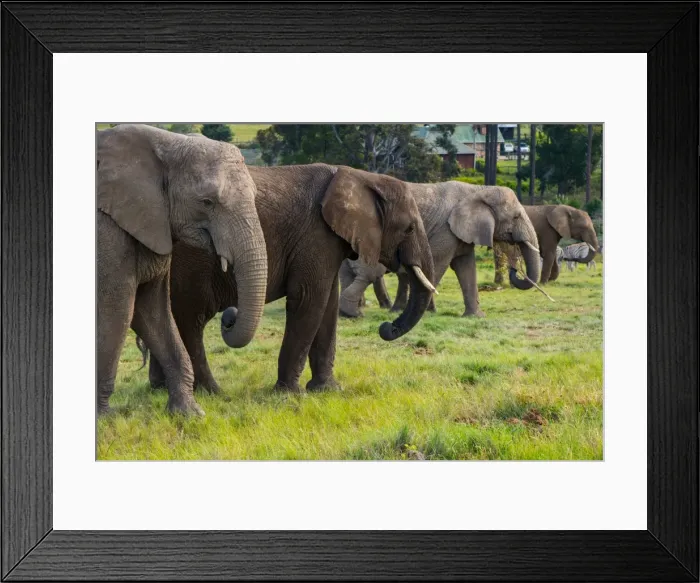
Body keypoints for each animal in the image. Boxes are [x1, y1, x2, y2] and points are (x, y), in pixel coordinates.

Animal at [97, 124, 267, 416]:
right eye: (207, 202)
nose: (230, 315)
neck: (167, 145)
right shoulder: (108, 233)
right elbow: (118, 309)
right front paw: (105, 418)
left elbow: (151, 310)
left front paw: (189, 414)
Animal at [145, 164, 436, 395]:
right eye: (410, 228)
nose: (387, 327)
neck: (363, 177)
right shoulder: (316, 236)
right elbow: (309, 300)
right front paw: (289, 396)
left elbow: (328, 306)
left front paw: (327, 390)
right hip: (189, 261)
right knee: (191, 320)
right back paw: (211, 392)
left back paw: (159, 390)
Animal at [339, 183, 541, 318]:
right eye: (516, 216)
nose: (515, 269)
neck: (478, 190)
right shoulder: (445, 230)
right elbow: (437, 265)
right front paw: (428, 313)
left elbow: (466, 267)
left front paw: (475, 317)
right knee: (370, 273)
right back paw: (353, 313)